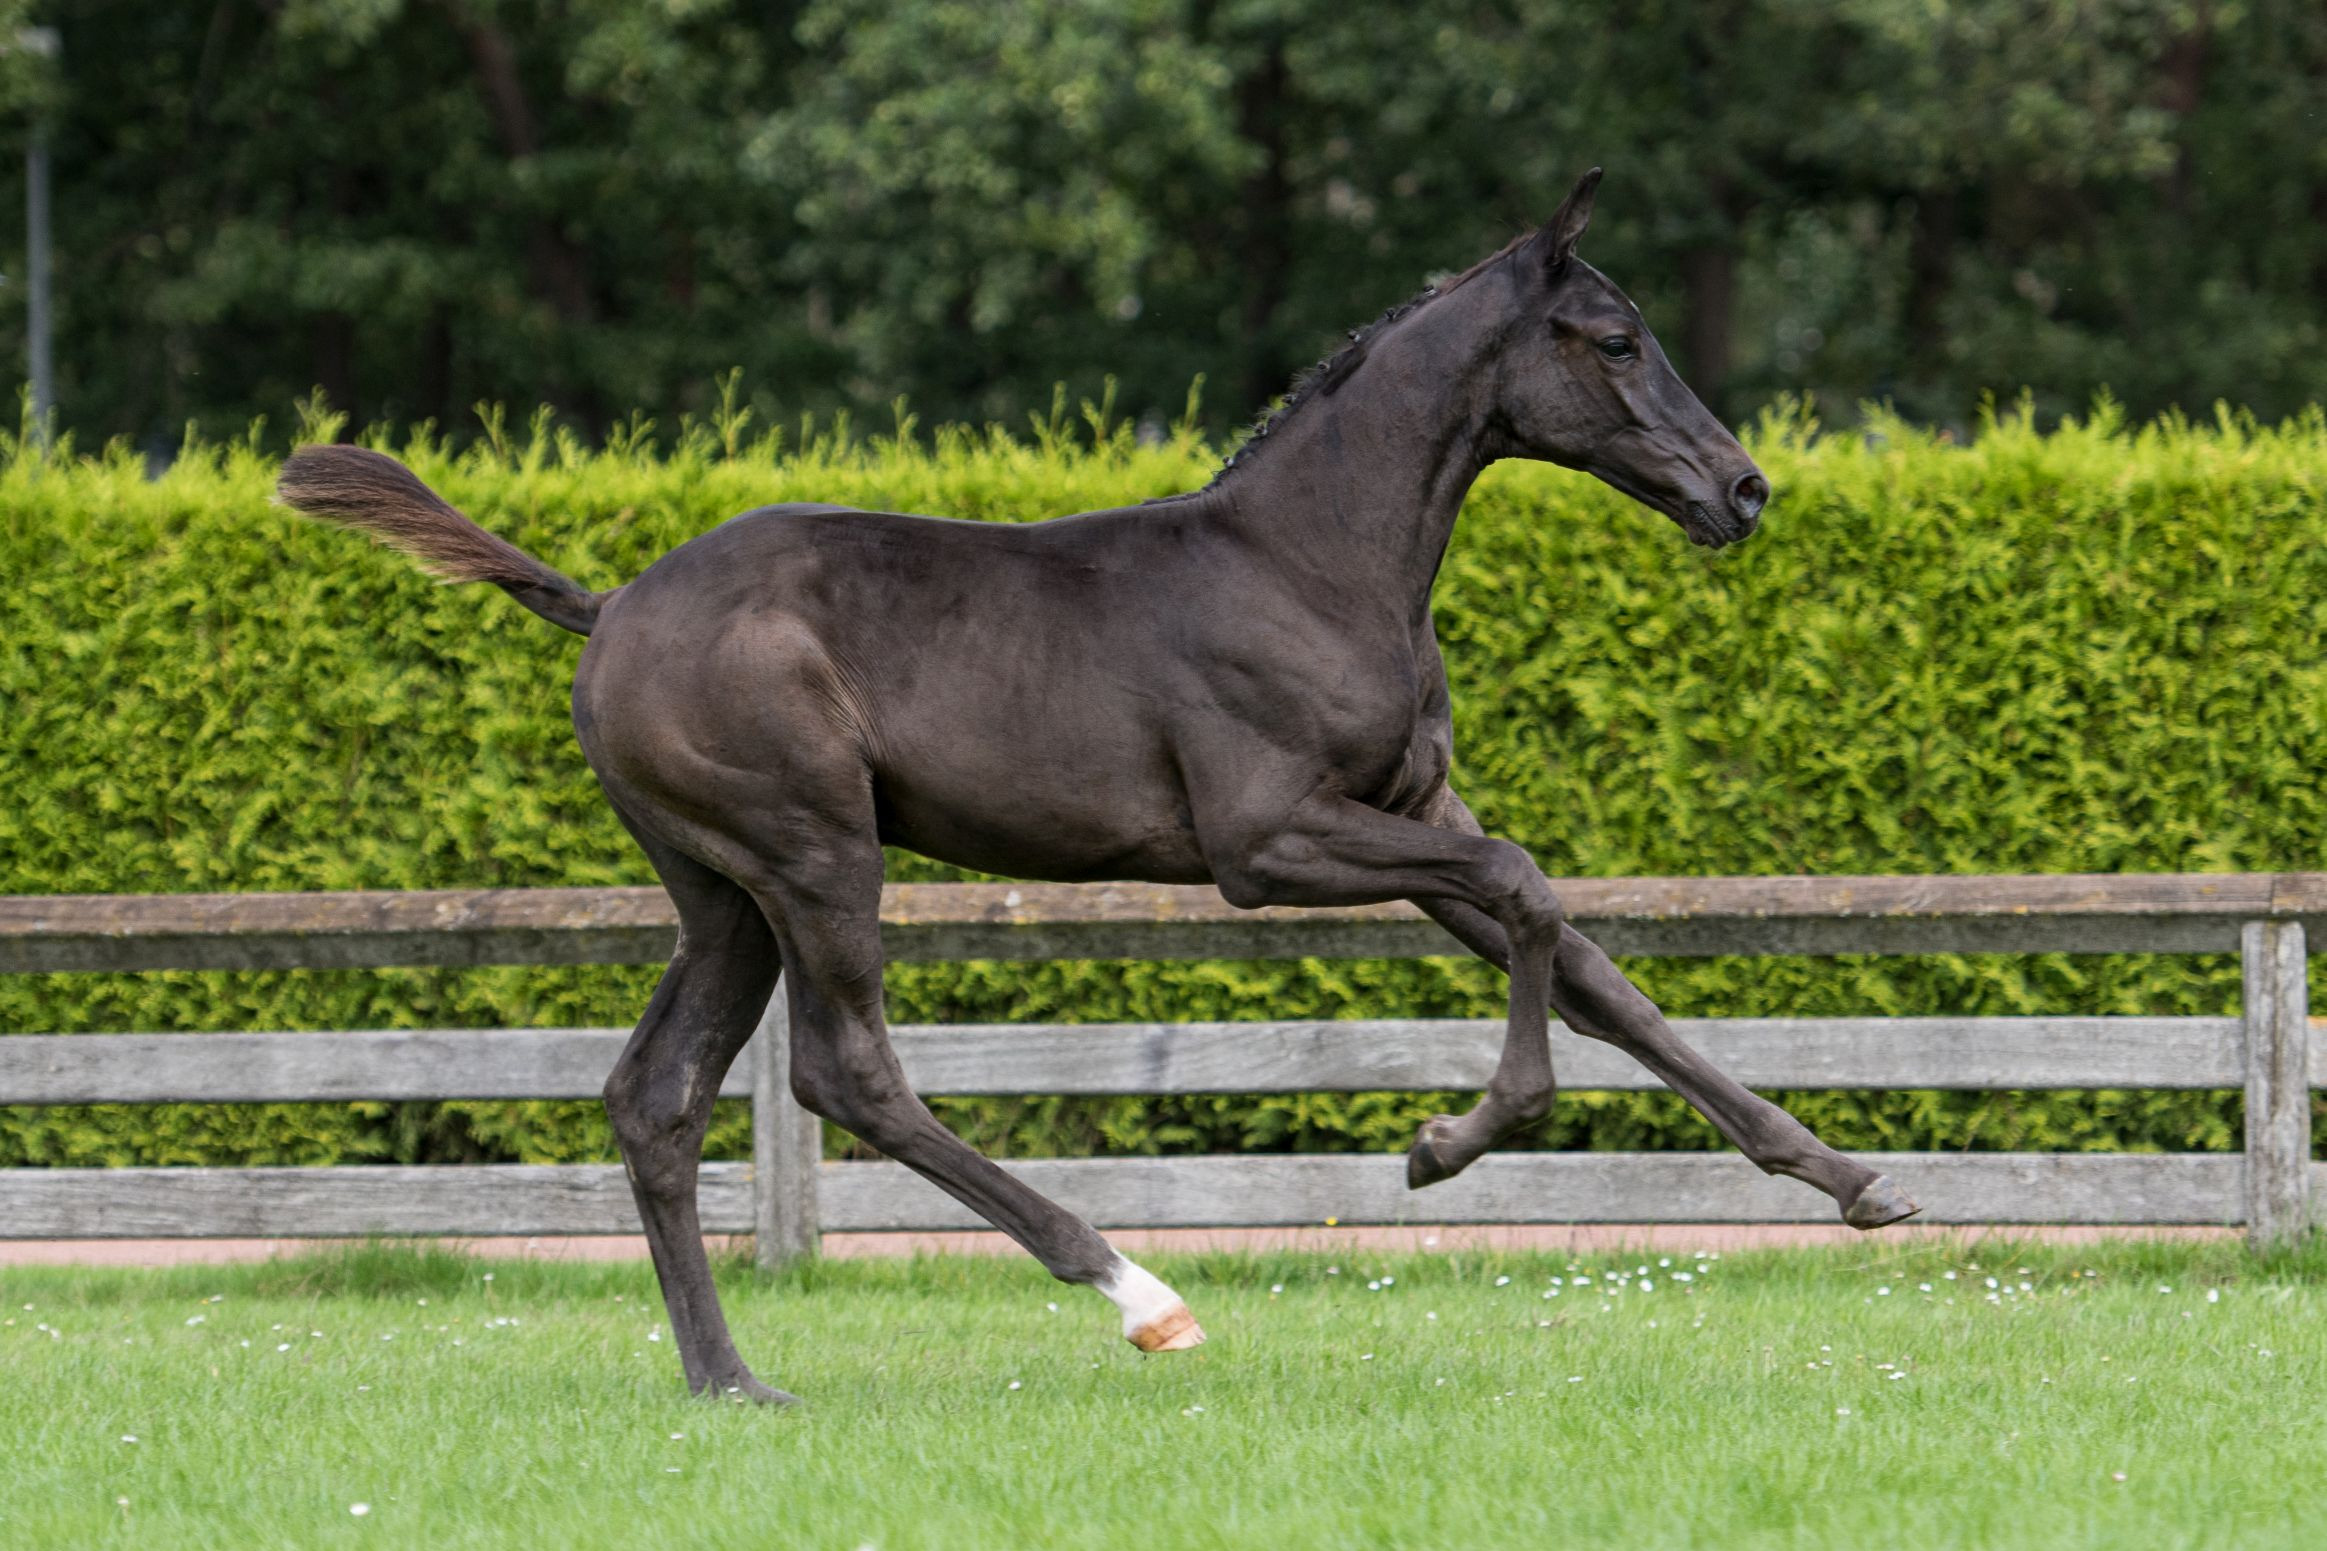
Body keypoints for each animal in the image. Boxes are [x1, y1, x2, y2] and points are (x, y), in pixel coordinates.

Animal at [277, 169, 1917, 1405]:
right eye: (1613, 338)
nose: (1743, 489)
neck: (1312, 563)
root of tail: (609, 605)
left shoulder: (1409, 816)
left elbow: (1586, 963)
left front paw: (1852, 1179)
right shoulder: (1267, 842)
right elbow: (1525, 890)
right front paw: (1446, 1143)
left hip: (718, 893)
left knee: (653, 1099)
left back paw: (731, 1379)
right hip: (812, 852)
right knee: (845, 1074)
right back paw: (1136, 1290)